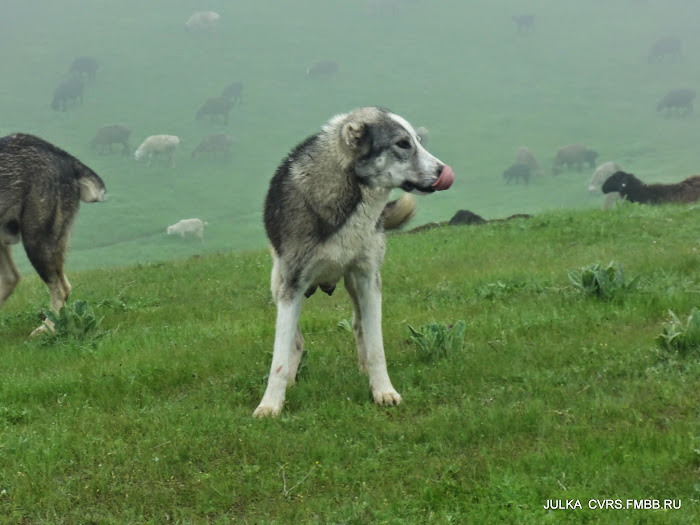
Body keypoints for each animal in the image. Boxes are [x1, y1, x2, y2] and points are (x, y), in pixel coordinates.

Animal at [254, 107, 456, 418]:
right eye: (402, 144)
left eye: (418, 141)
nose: (442, 171)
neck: (349, 193)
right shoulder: (292, 285)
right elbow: (279, 357)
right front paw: (270, 405)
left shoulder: (368, 278)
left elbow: (376, 347)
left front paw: (383, 391)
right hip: (277, 284)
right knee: (296, 341)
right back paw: (291, 380)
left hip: (353, 285)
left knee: (359, 326)